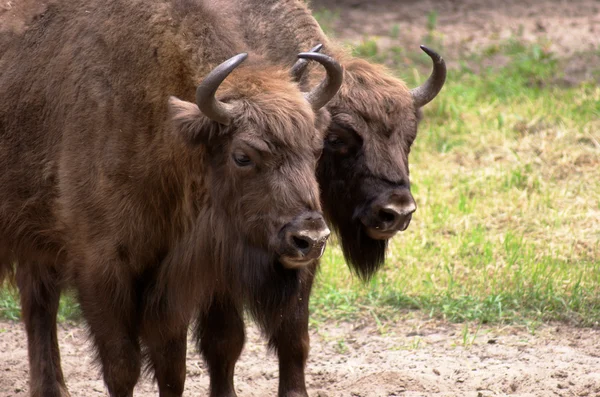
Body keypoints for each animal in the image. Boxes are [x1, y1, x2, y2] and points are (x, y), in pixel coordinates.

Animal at [0, 0, 342, 396]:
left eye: (316, 148)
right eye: (242, 156)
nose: (310, 238)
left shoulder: (173, 283)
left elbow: (172, 367)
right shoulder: (101, 270)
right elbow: (122, 367)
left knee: (38, 303)